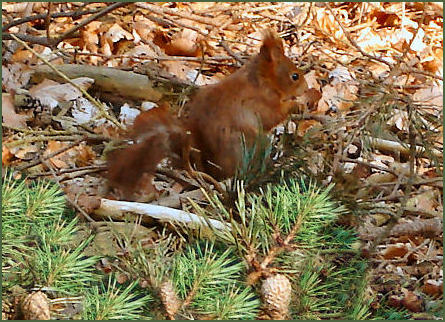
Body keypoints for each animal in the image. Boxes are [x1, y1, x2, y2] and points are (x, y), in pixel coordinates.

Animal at [106, 31, 306, 200]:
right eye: (295, 76)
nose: (306, 87)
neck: (261, 80)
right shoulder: (262, 102)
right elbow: (273, 116)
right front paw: (297, 104)